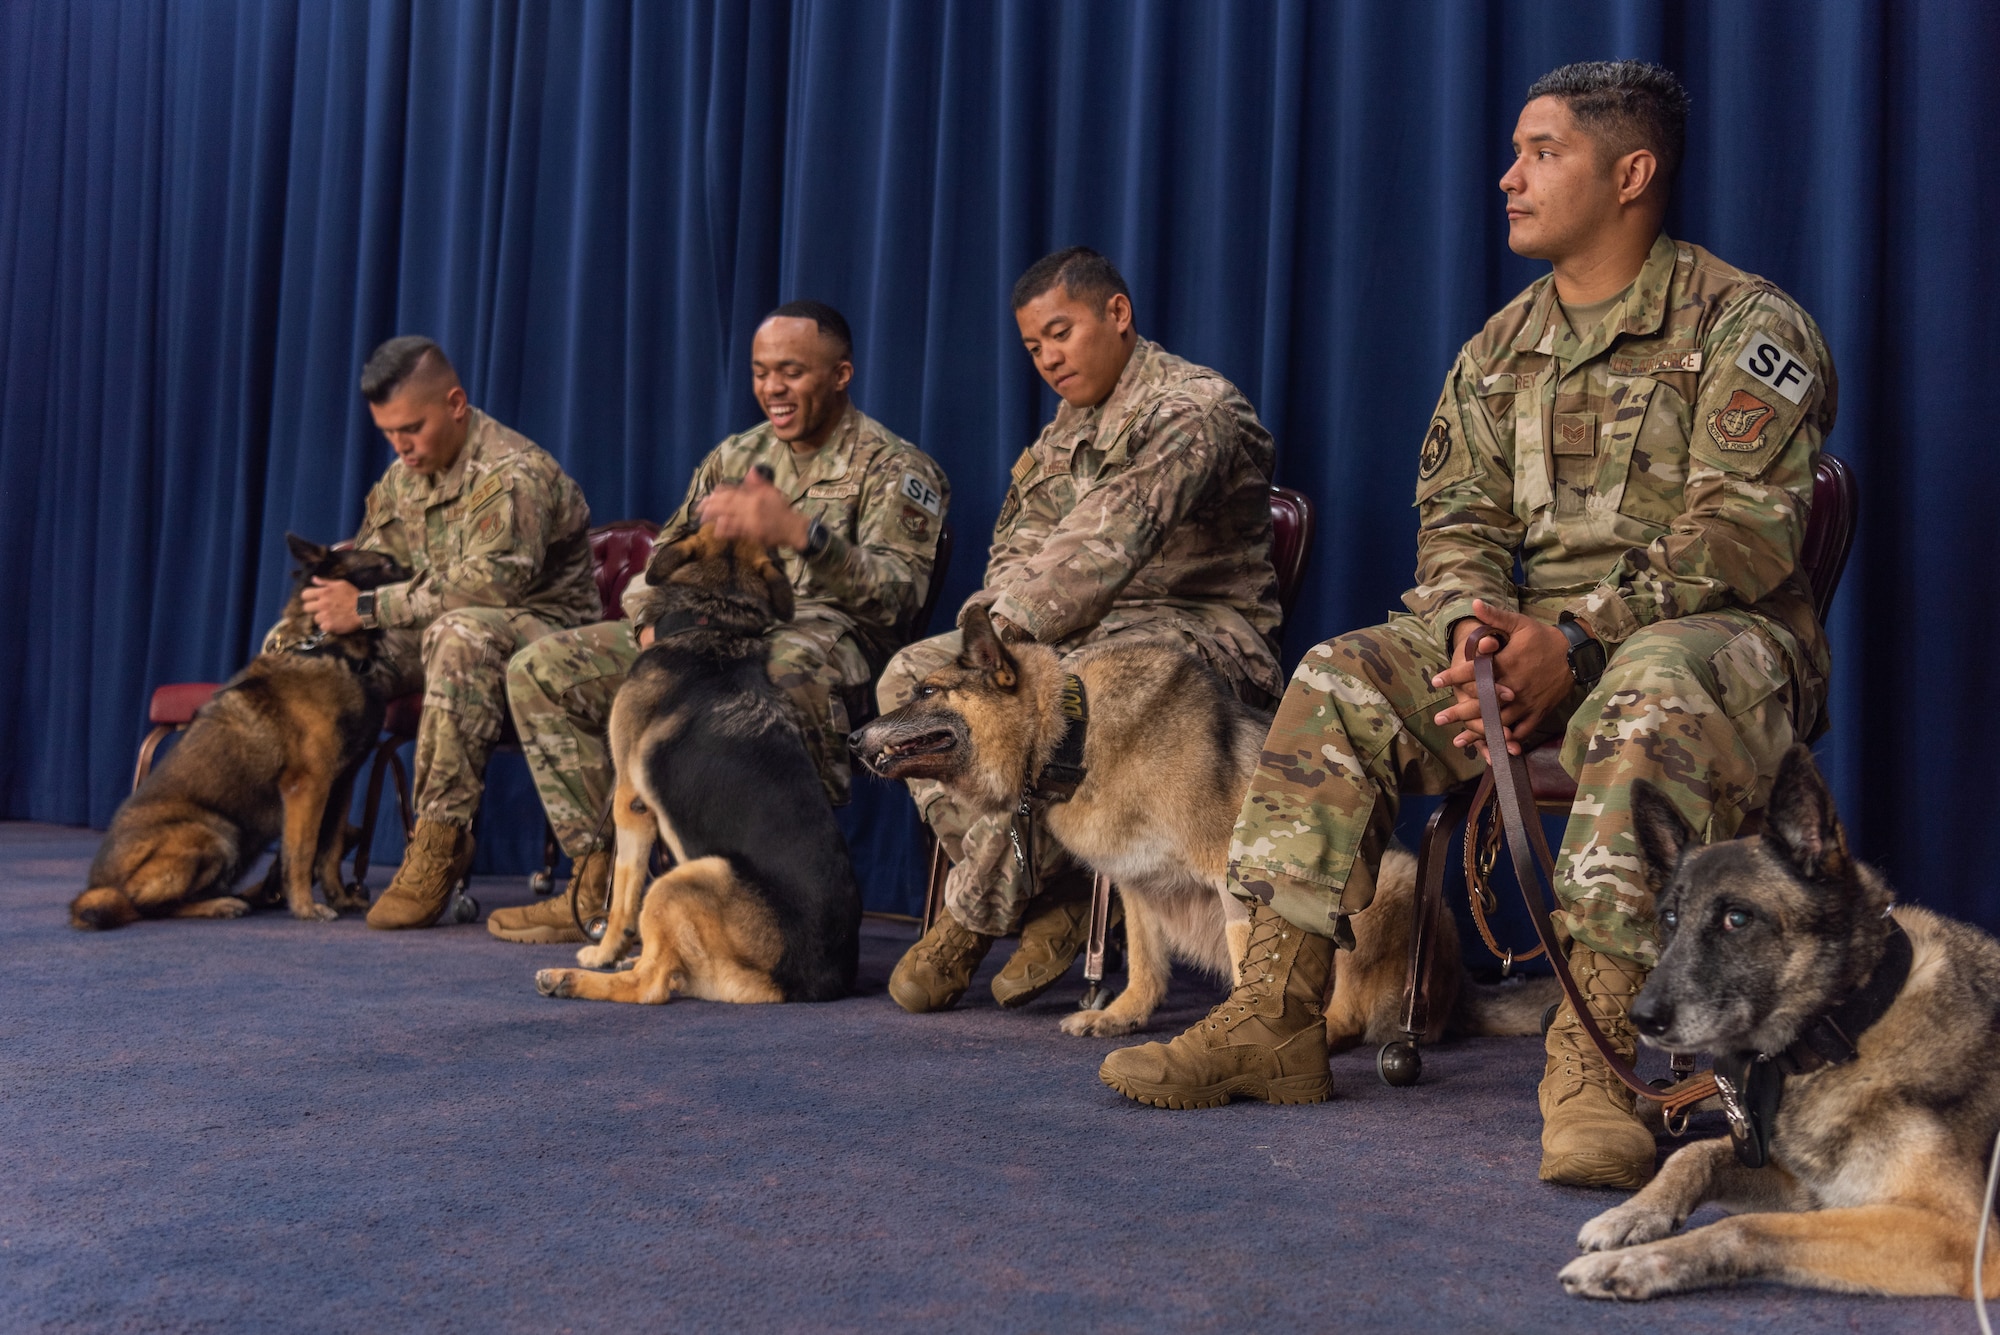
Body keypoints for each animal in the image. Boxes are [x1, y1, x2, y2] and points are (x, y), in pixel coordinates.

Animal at [72, 535, 412, 935]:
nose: (421, 576)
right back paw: (219, 905)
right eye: (385, 566)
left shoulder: (341, 786)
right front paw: (305, 907)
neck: (329, 650)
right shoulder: (307, 786)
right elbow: (302, 853)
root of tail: (97, 885)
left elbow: (328, 853)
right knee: (142, 905)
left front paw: (339, 898)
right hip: (213, 831)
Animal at [536, 527, 864, 1007]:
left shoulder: (630, 802)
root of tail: (808, 982)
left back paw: (568, 979)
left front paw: (605, 951)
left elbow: (622, 895)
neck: (713, 622)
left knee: (649, 986)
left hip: (685, 878)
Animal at [852, 603, 1552, 1039]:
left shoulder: (1232, 874)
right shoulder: (1132, 882)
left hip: (1388, 884)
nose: (853, 736)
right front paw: (1122, 1015)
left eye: (926, 692)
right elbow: (1144, 963)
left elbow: (1251, 965)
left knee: (1352, 1011)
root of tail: (1459, 995)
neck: (1076, 735)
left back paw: (1323, 1031)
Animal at [1560, 747, 2000, 1295]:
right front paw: (1635, 1213)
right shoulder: (1804, 1187)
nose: (1642, 1018)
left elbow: (1746, 1228)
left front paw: (1637, 1264)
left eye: (1737, 919)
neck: (1851, 1023)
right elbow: (1697, 1153)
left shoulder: (1956, 1236)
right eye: (1670, 920)